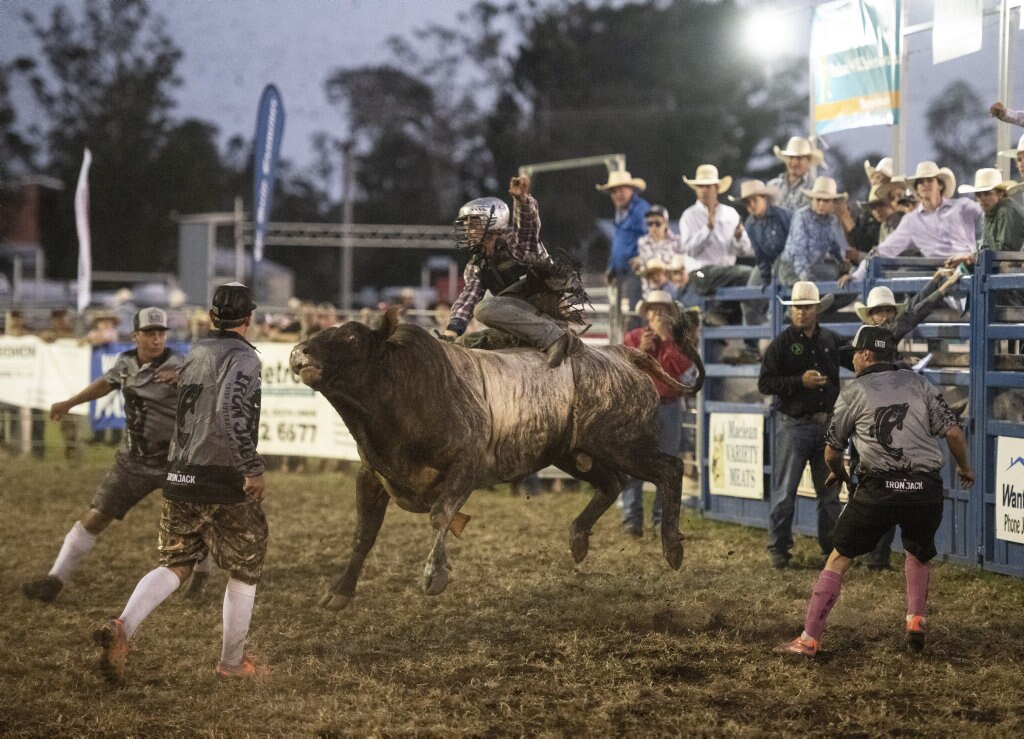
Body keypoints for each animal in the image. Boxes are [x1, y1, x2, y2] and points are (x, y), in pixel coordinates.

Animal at [290, 307, 704, 605]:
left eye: (350, 336)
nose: (298, 353)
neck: (405, 387)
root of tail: (620, 352)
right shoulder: (372, 475)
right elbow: (364, 533)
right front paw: (339, 592)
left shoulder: (467, 467)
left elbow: (440, 515)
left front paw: (434, 575)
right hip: (574, 452)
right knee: (611, 483)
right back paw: (578, 539)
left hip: (623, 443)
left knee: (670, 468)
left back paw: (672, 547)